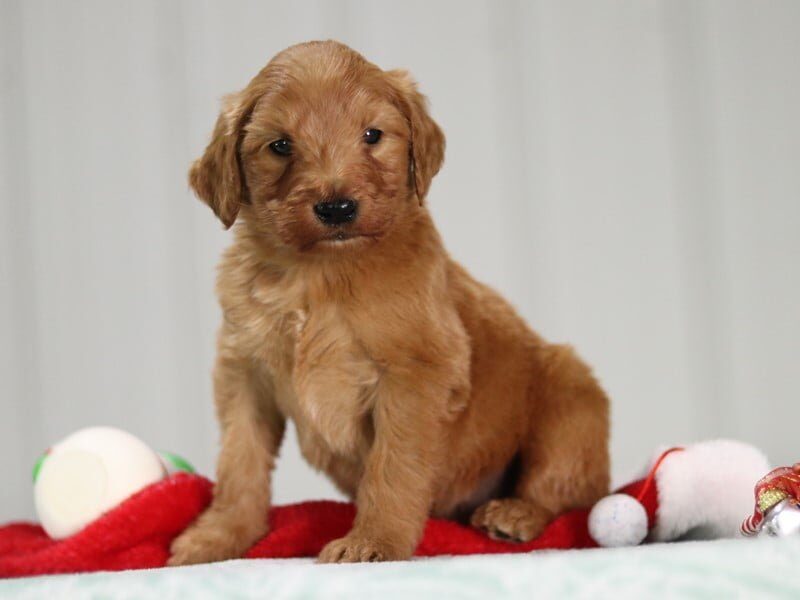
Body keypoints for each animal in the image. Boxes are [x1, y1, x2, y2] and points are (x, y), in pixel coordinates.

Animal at [168, 40, 609, 565]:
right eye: (280, 145)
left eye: (372, 135)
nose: (336, 207)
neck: (318, 275)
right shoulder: (244, 375)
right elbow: (241, 462)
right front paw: (217, 537)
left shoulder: (415, 374)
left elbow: (393, 467)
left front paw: (373, 541)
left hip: (570, 395)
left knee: (570, 489)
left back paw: (514, 514)